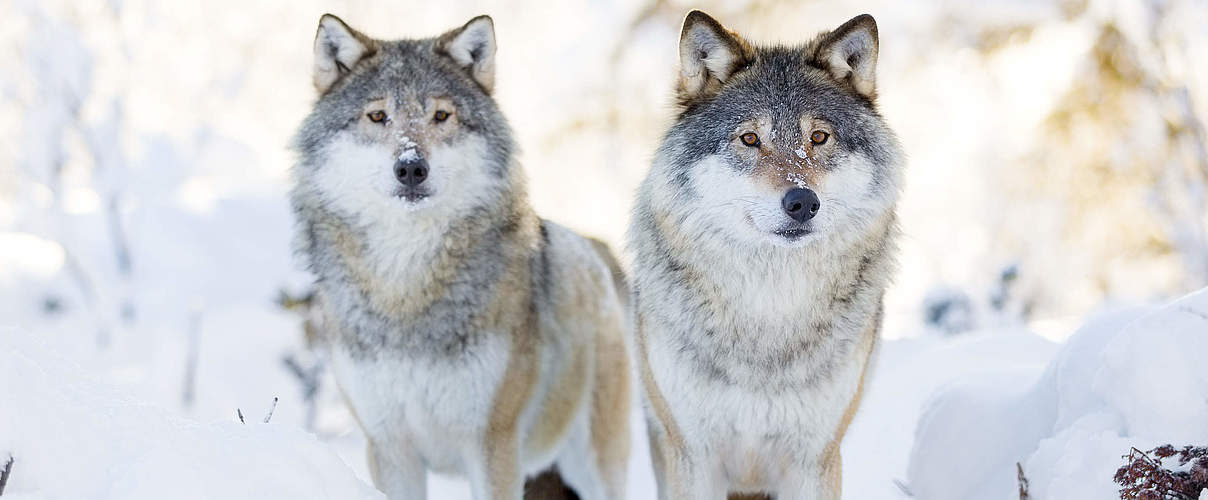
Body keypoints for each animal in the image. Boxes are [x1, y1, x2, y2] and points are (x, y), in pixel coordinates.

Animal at [289, 13, 632, 497]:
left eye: (441, 115)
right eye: (377, 116)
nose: (411, 167)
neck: (406, 287)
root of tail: (594, 251)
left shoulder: (492, 444)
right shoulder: (390, 448)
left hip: (595, 464)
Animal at [628, 8, 903, 500]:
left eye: (819, 137)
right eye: (750, 139)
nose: (802, 202)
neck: (769, 311)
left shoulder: (815, 459)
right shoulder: (693, 457)